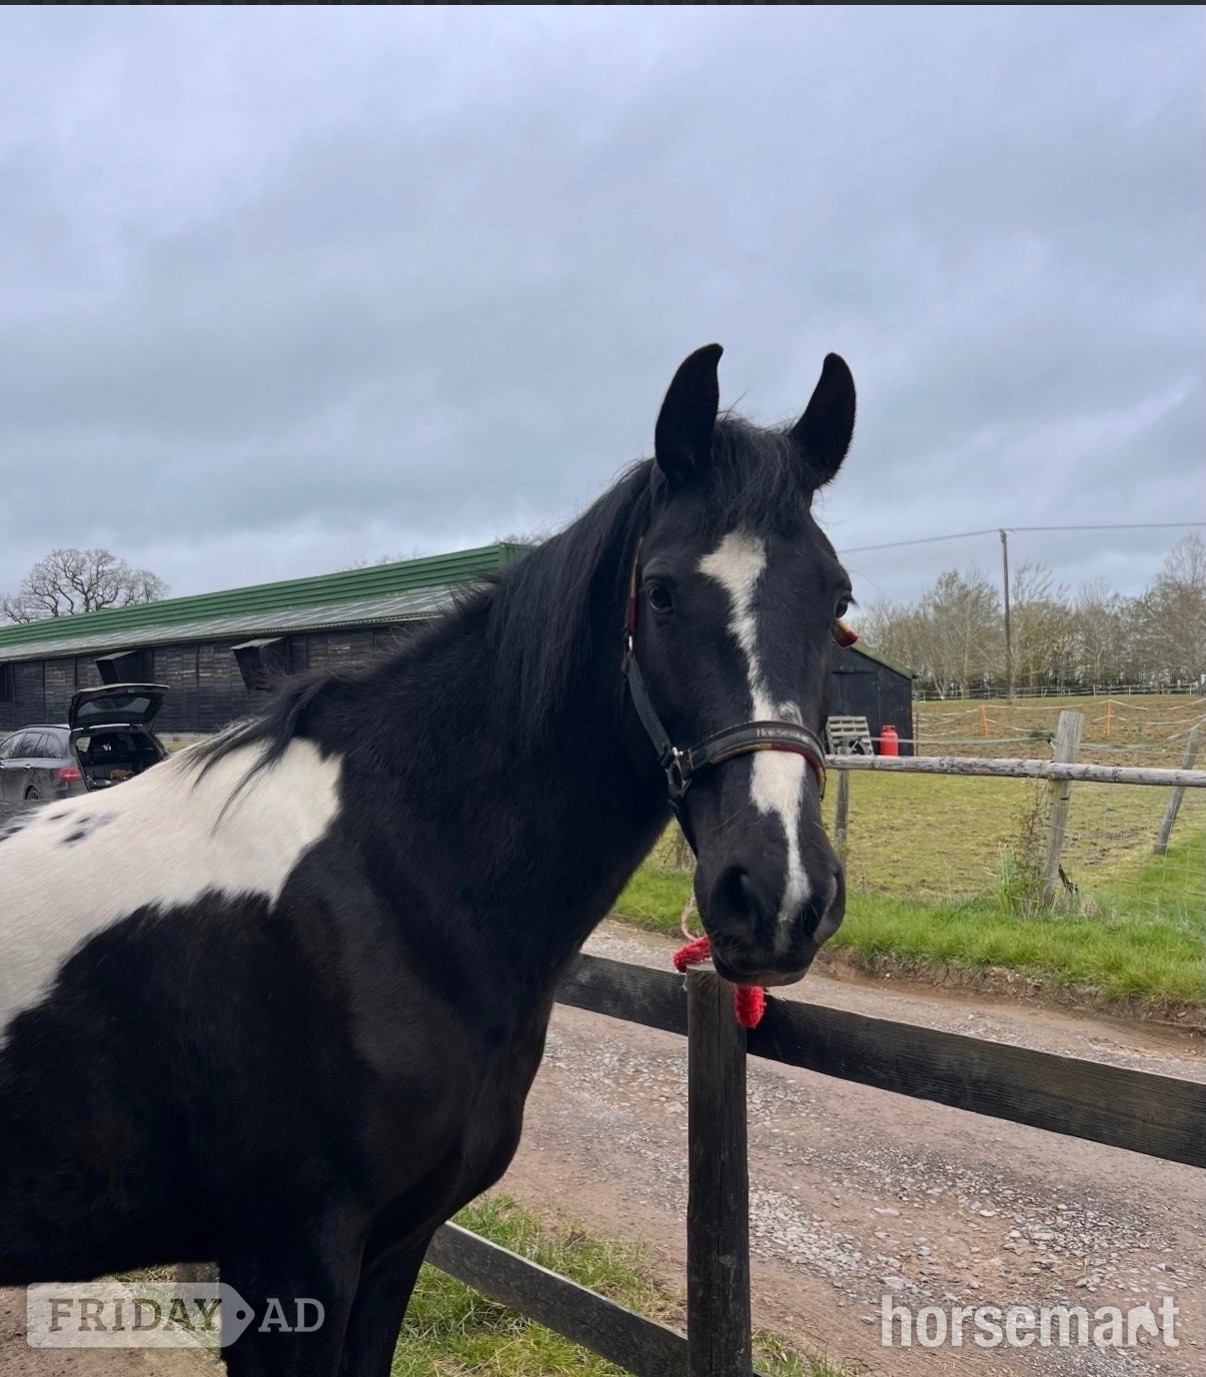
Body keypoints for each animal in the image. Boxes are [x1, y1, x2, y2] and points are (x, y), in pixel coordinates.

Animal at [0, 343, 857, 1375]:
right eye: (659, 591)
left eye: (839, 598)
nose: (778, 893)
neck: (380, 886)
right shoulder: (287, 1262)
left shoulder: (396, 1245)